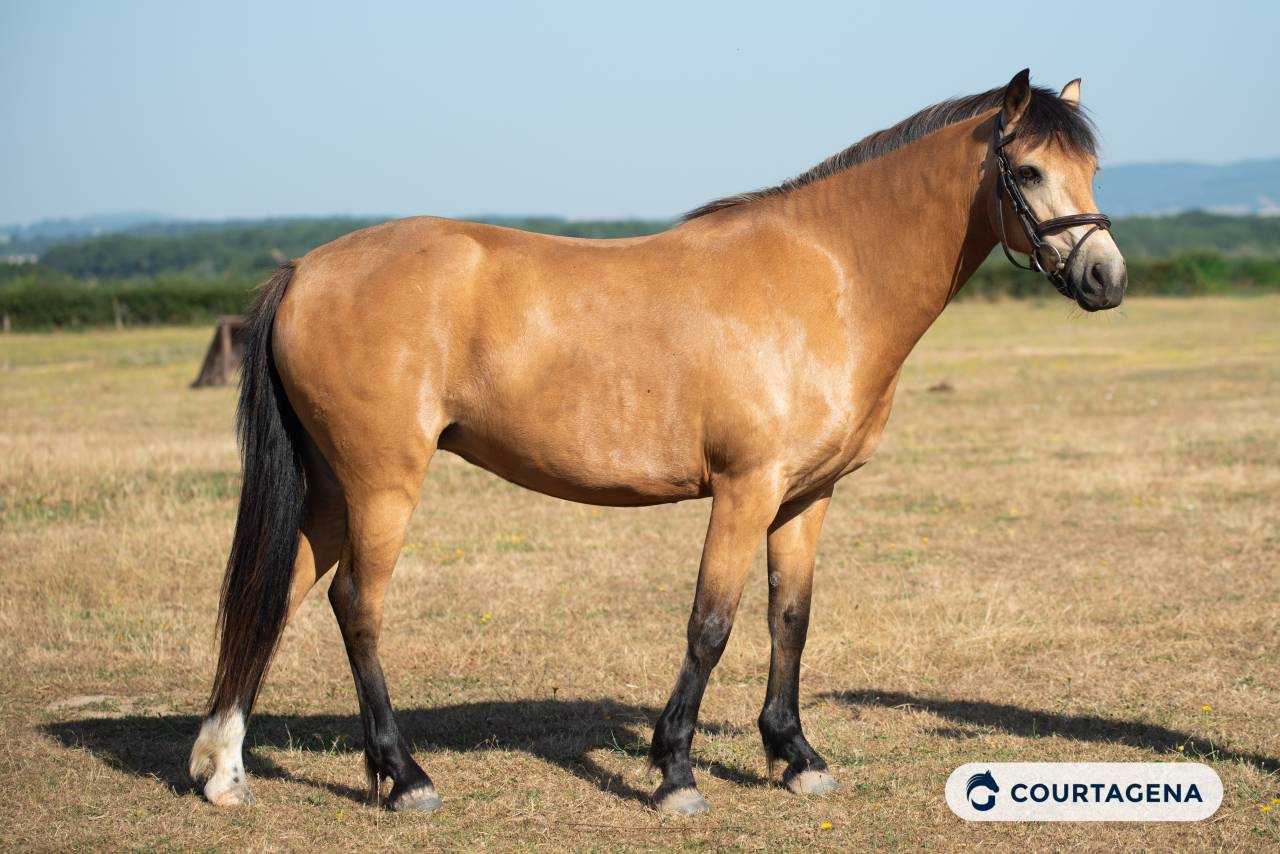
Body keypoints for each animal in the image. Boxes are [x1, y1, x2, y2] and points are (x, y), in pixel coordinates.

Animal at [189, 68, 1126, 815]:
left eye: (1091, 169)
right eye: (1029, 169)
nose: (1107, 278)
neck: (828, 276)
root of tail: (306, 271)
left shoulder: (807, 495)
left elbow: (791, 618)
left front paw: (796, 757)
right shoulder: (746, 489)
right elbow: (711, 625)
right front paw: (675, 772)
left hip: (333, 486)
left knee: (281, 594)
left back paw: (223, 770)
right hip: (382, 482)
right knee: (357, 606)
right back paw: (405, 776)